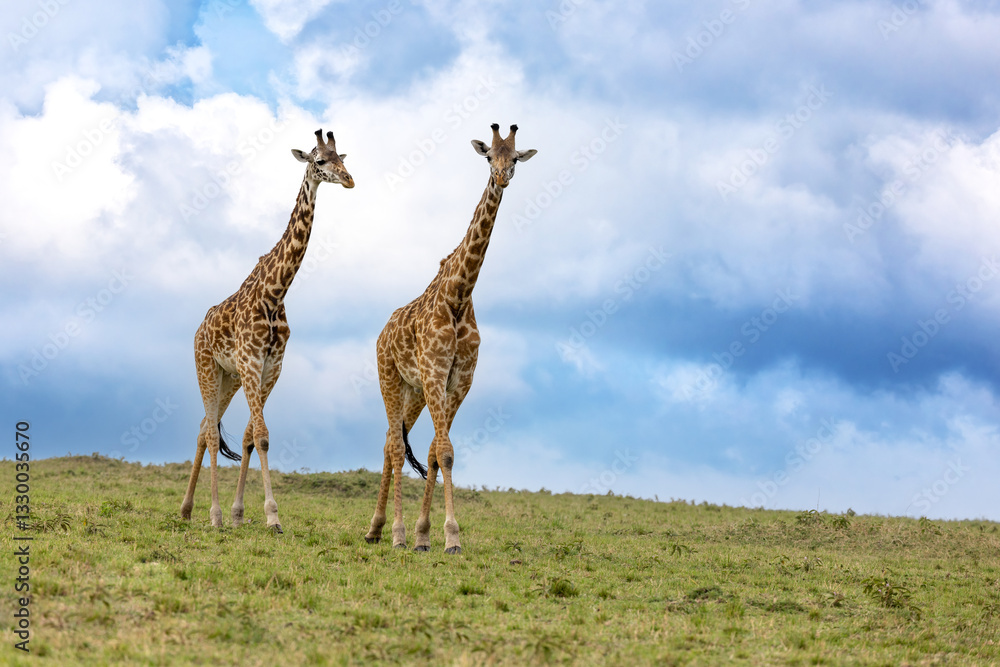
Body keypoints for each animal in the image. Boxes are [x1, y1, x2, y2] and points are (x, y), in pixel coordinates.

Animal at [180, 128, 354, 533]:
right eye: (319, 160)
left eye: (342, 158)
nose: (349, 180)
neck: (275, 293)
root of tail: (199, 328)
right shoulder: (250, 362)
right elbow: (261, 435)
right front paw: (271, 515)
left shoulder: (270, 367)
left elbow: (249, 437)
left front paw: (241, 513)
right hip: (206, 367)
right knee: (209, 432)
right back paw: (211, 514)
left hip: (228, 378)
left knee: (203, 426)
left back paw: (187, 509)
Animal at [364, 123, 536, 553]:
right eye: (489, 156)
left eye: (515, 158)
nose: (502, 178)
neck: (459, 295)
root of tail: (382, 332)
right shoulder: (434, 372)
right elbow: (443, 450)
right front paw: (449, 536)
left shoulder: (458, 379)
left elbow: (437, 453)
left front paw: (427, 535)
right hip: (389, 377)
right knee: (395, 445)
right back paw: (392, 533)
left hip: (414, 391)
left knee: (391, 441)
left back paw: (377, 529)